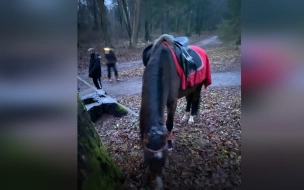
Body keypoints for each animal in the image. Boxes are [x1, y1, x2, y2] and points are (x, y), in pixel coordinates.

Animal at [140, 34, 211, 189]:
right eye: (148, 161)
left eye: (164, 161)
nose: (158, 186)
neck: (163, 65)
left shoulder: (172, 102)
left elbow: (169, 124)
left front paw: (170, 144)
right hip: (189, 88)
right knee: (189, 100)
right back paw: (185, 116)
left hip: (197, 87)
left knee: (194, 100)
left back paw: (191, 118)